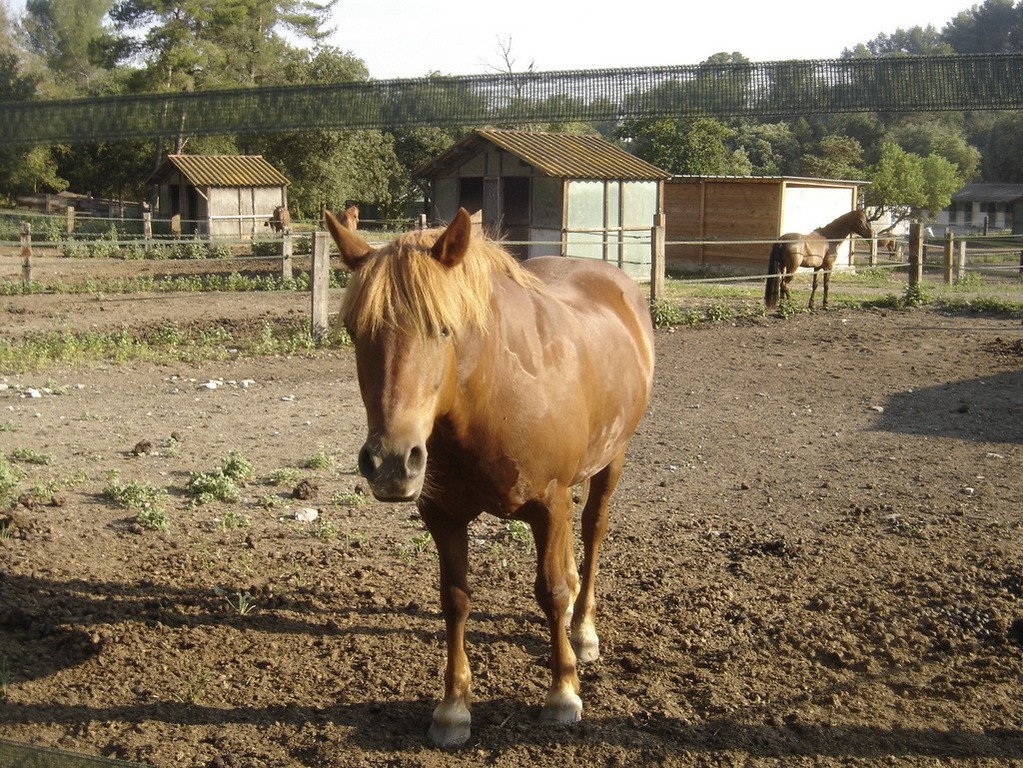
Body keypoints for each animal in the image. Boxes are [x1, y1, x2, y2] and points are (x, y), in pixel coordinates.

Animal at [323, 207, 650, 748]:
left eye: (443, 329)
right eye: (353, 330)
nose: (391, 462)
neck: (492, 397)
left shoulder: (549, 503)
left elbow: (551, 591)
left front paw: (562, 693)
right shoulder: (442, 515)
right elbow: (455, 599)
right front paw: (453, 707)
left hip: (612, 460)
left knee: (593, 533)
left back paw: (583, 632)